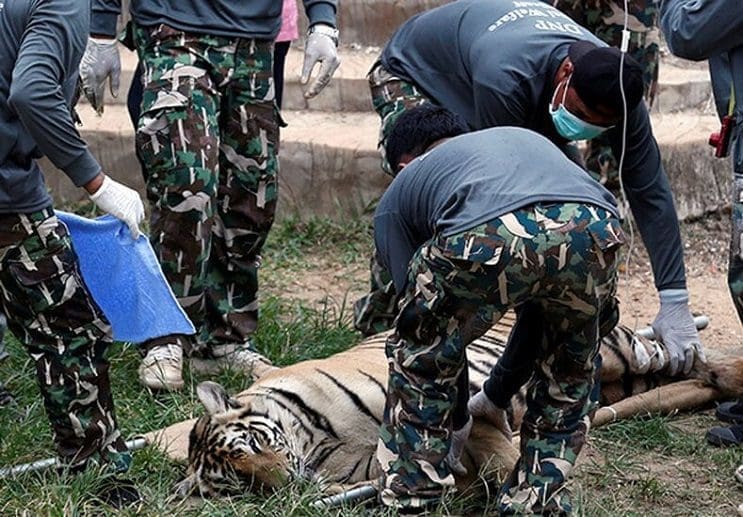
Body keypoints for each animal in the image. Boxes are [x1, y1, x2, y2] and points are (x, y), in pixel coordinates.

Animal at [169, 312, 743, 498]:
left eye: (254, 443)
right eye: (238, 482)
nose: (284, 483)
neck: (315, 442)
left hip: (612, 347)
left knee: (681, 353)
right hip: (620, 379)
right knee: (683, 377)